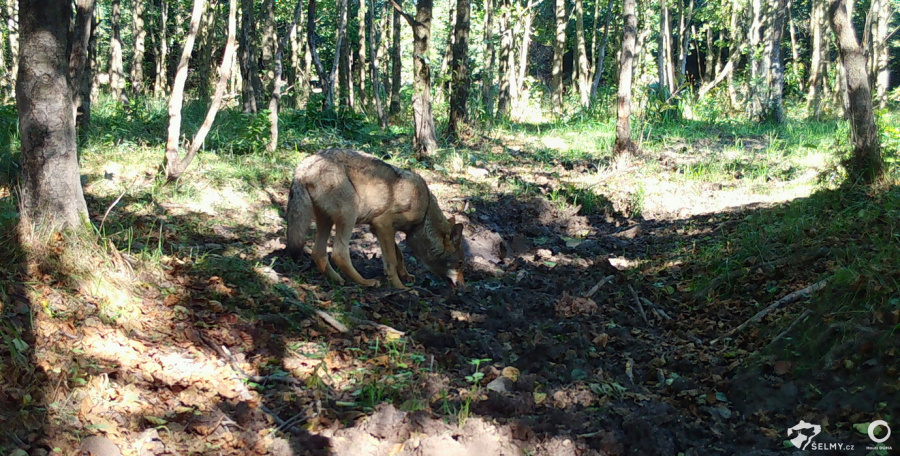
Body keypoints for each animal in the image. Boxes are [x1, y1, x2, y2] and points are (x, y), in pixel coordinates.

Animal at [286, 151, 472, 290]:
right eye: (460, 263)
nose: (463, 286)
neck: (425, 211)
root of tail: (303, 165)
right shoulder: (383, 224)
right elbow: (391, 259)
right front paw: (400, 287)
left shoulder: (379, 228)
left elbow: (399, 254)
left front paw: (406, 275)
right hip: (349, 215)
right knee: (339, 253)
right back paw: (365, 282)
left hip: (327, 220)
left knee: (318, 252)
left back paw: (337, 279)